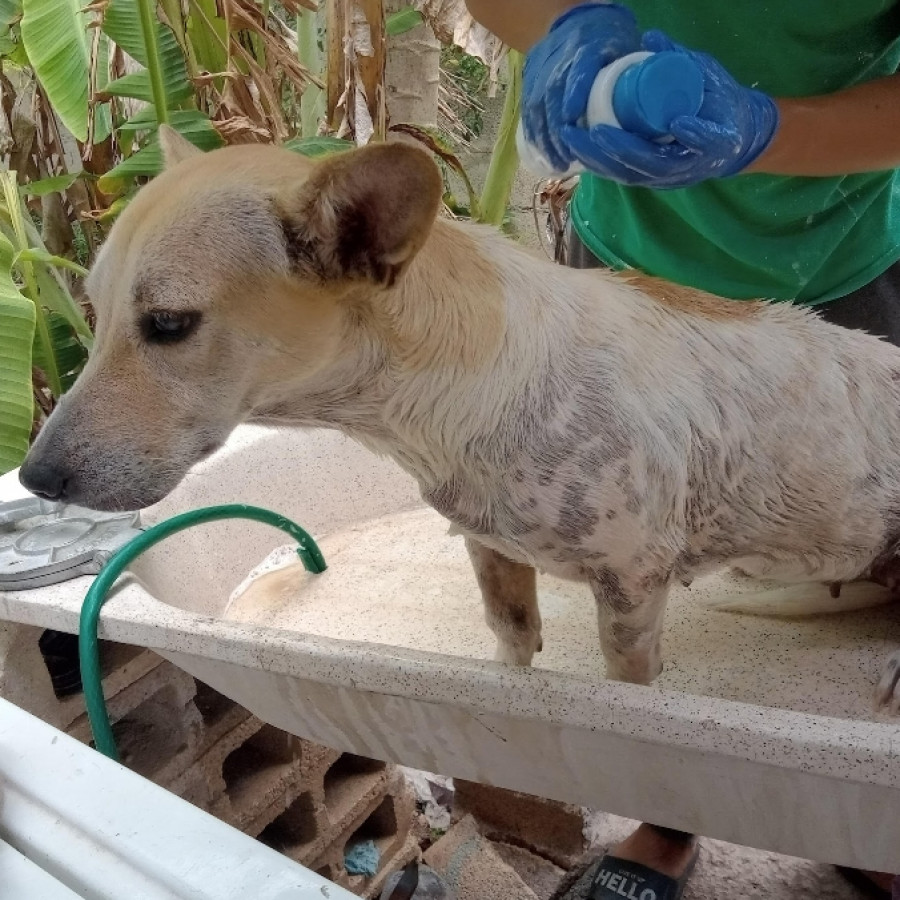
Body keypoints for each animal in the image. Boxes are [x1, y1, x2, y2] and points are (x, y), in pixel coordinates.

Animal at [17, 125, 900, 704]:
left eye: (168, 324)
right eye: (93, 309)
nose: (34, 477)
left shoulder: (632, 588)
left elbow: (629, 681)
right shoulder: (491, 552)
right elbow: (511, 649)